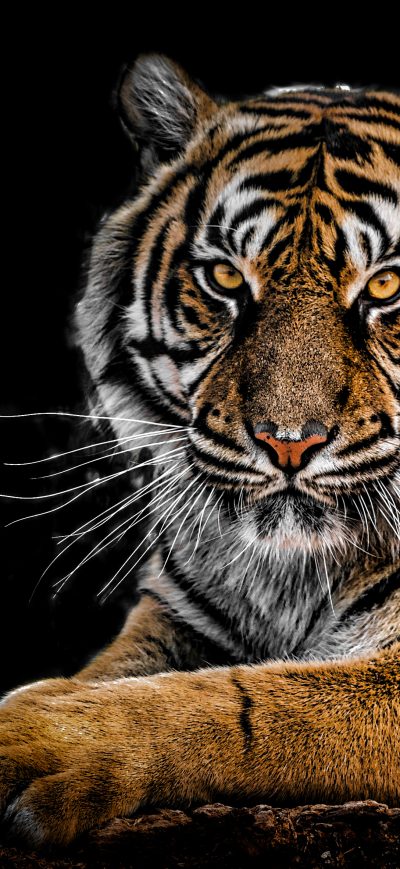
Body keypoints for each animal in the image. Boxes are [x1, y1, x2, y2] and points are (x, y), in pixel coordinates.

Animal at [1, 53, 399, 847]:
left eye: (388, 284)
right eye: (223, 278)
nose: (288, 443)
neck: (290, 577)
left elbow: (247, 704)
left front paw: (37, 737)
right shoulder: (178, 614)